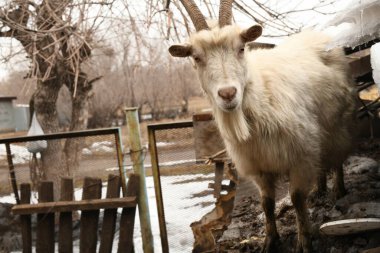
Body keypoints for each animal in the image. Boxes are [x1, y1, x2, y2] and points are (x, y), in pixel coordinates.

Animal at [168, 0, 356, 252]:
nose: (228, 94)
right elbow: (266, 203)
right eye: (196, 57)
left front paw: (304, 241)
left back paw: (338, 190)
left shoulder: (301, 155)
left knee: (337, 156)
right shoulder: (259, 167)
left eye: (241, 48)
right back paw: (319, 190)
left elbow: (297, 198)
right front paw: (270, 241)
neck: (263, 98)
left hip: (338, 123)